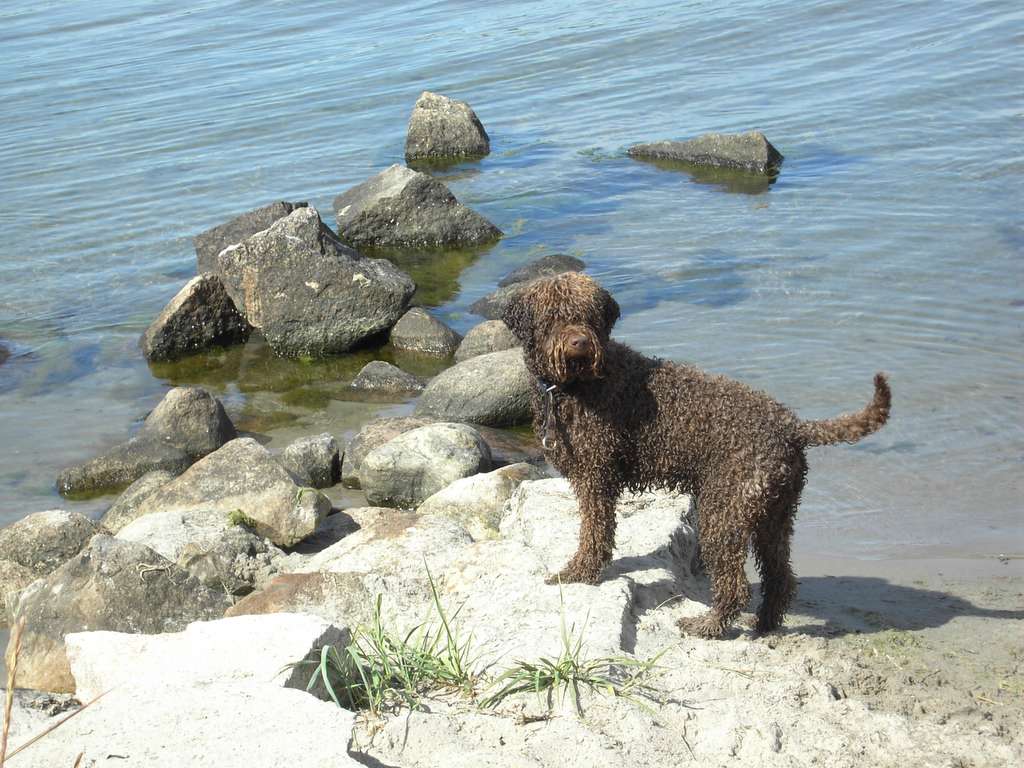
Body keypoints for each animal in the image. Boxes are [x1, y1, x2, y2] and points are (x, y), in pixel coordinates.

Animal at [502, 272, 891, 638]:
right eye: (553, 316)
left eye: (590, 315)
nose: (579, 343)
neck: (576, 386)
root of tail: (792, 426)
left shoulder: (595, 477)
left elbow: (594, 534)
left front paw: (579, 571)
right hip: (774, 515)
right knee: (780, 577)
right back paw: (764, 624)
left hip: (723, 513)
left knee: (735, 586)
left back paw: (709, 626)